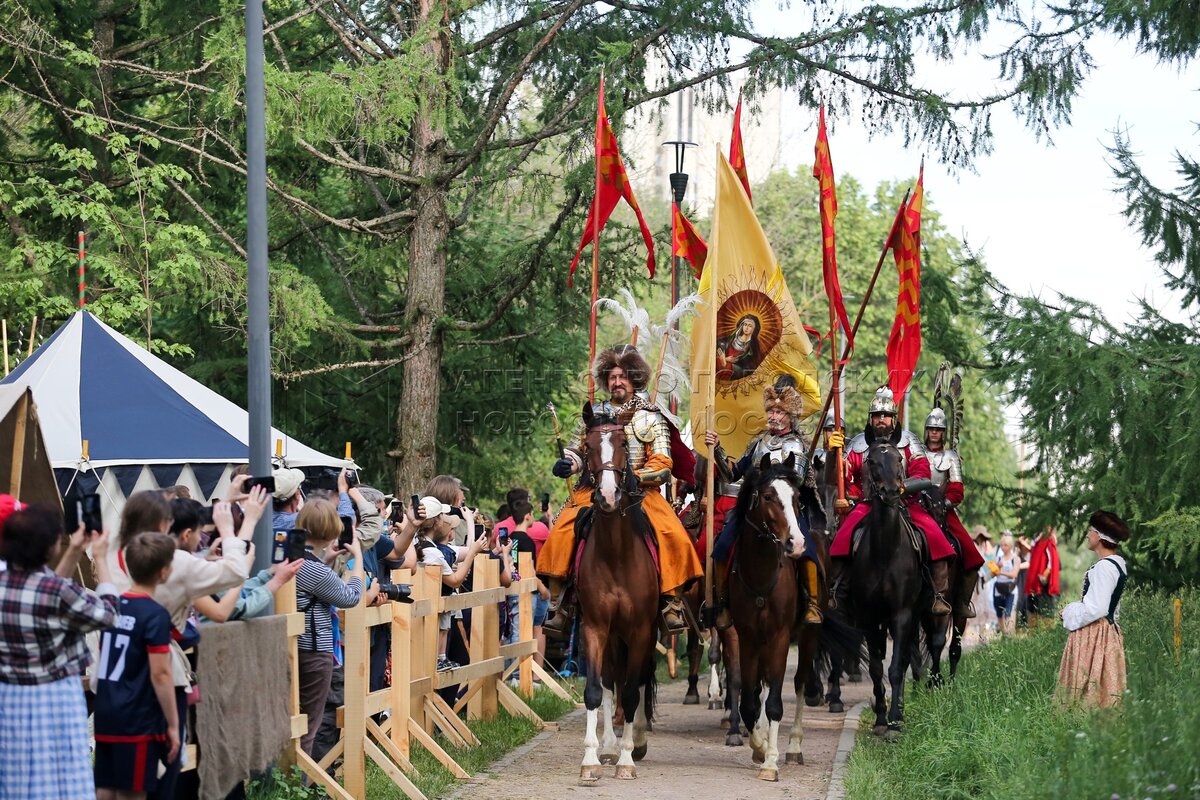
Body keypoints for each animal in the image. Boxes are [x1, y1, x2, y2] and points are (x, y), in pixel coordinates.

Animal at [727, 454, 818, 780]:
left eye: (797, 499)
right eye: (767, 496)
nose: (796, 544)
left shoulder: (780, 636)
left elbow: (776, 703)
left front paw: (771, 762)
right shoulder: (747, 637)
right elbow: (750, 703)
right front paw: (760, 747)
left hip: (807, 636)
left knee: (801, 681)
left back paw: (793, 746)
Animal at [842, 431, 929, 741]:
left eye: (899, 458)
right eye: (872, 461)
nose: (892, 492)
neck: (885, 552)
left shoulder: (902, 615)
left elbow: (895, 668)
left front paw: (893, 721)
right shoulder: (868, 617)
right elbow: (877, 668)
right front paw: (880, 718)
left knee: (904, 663)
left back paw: (900, 711)